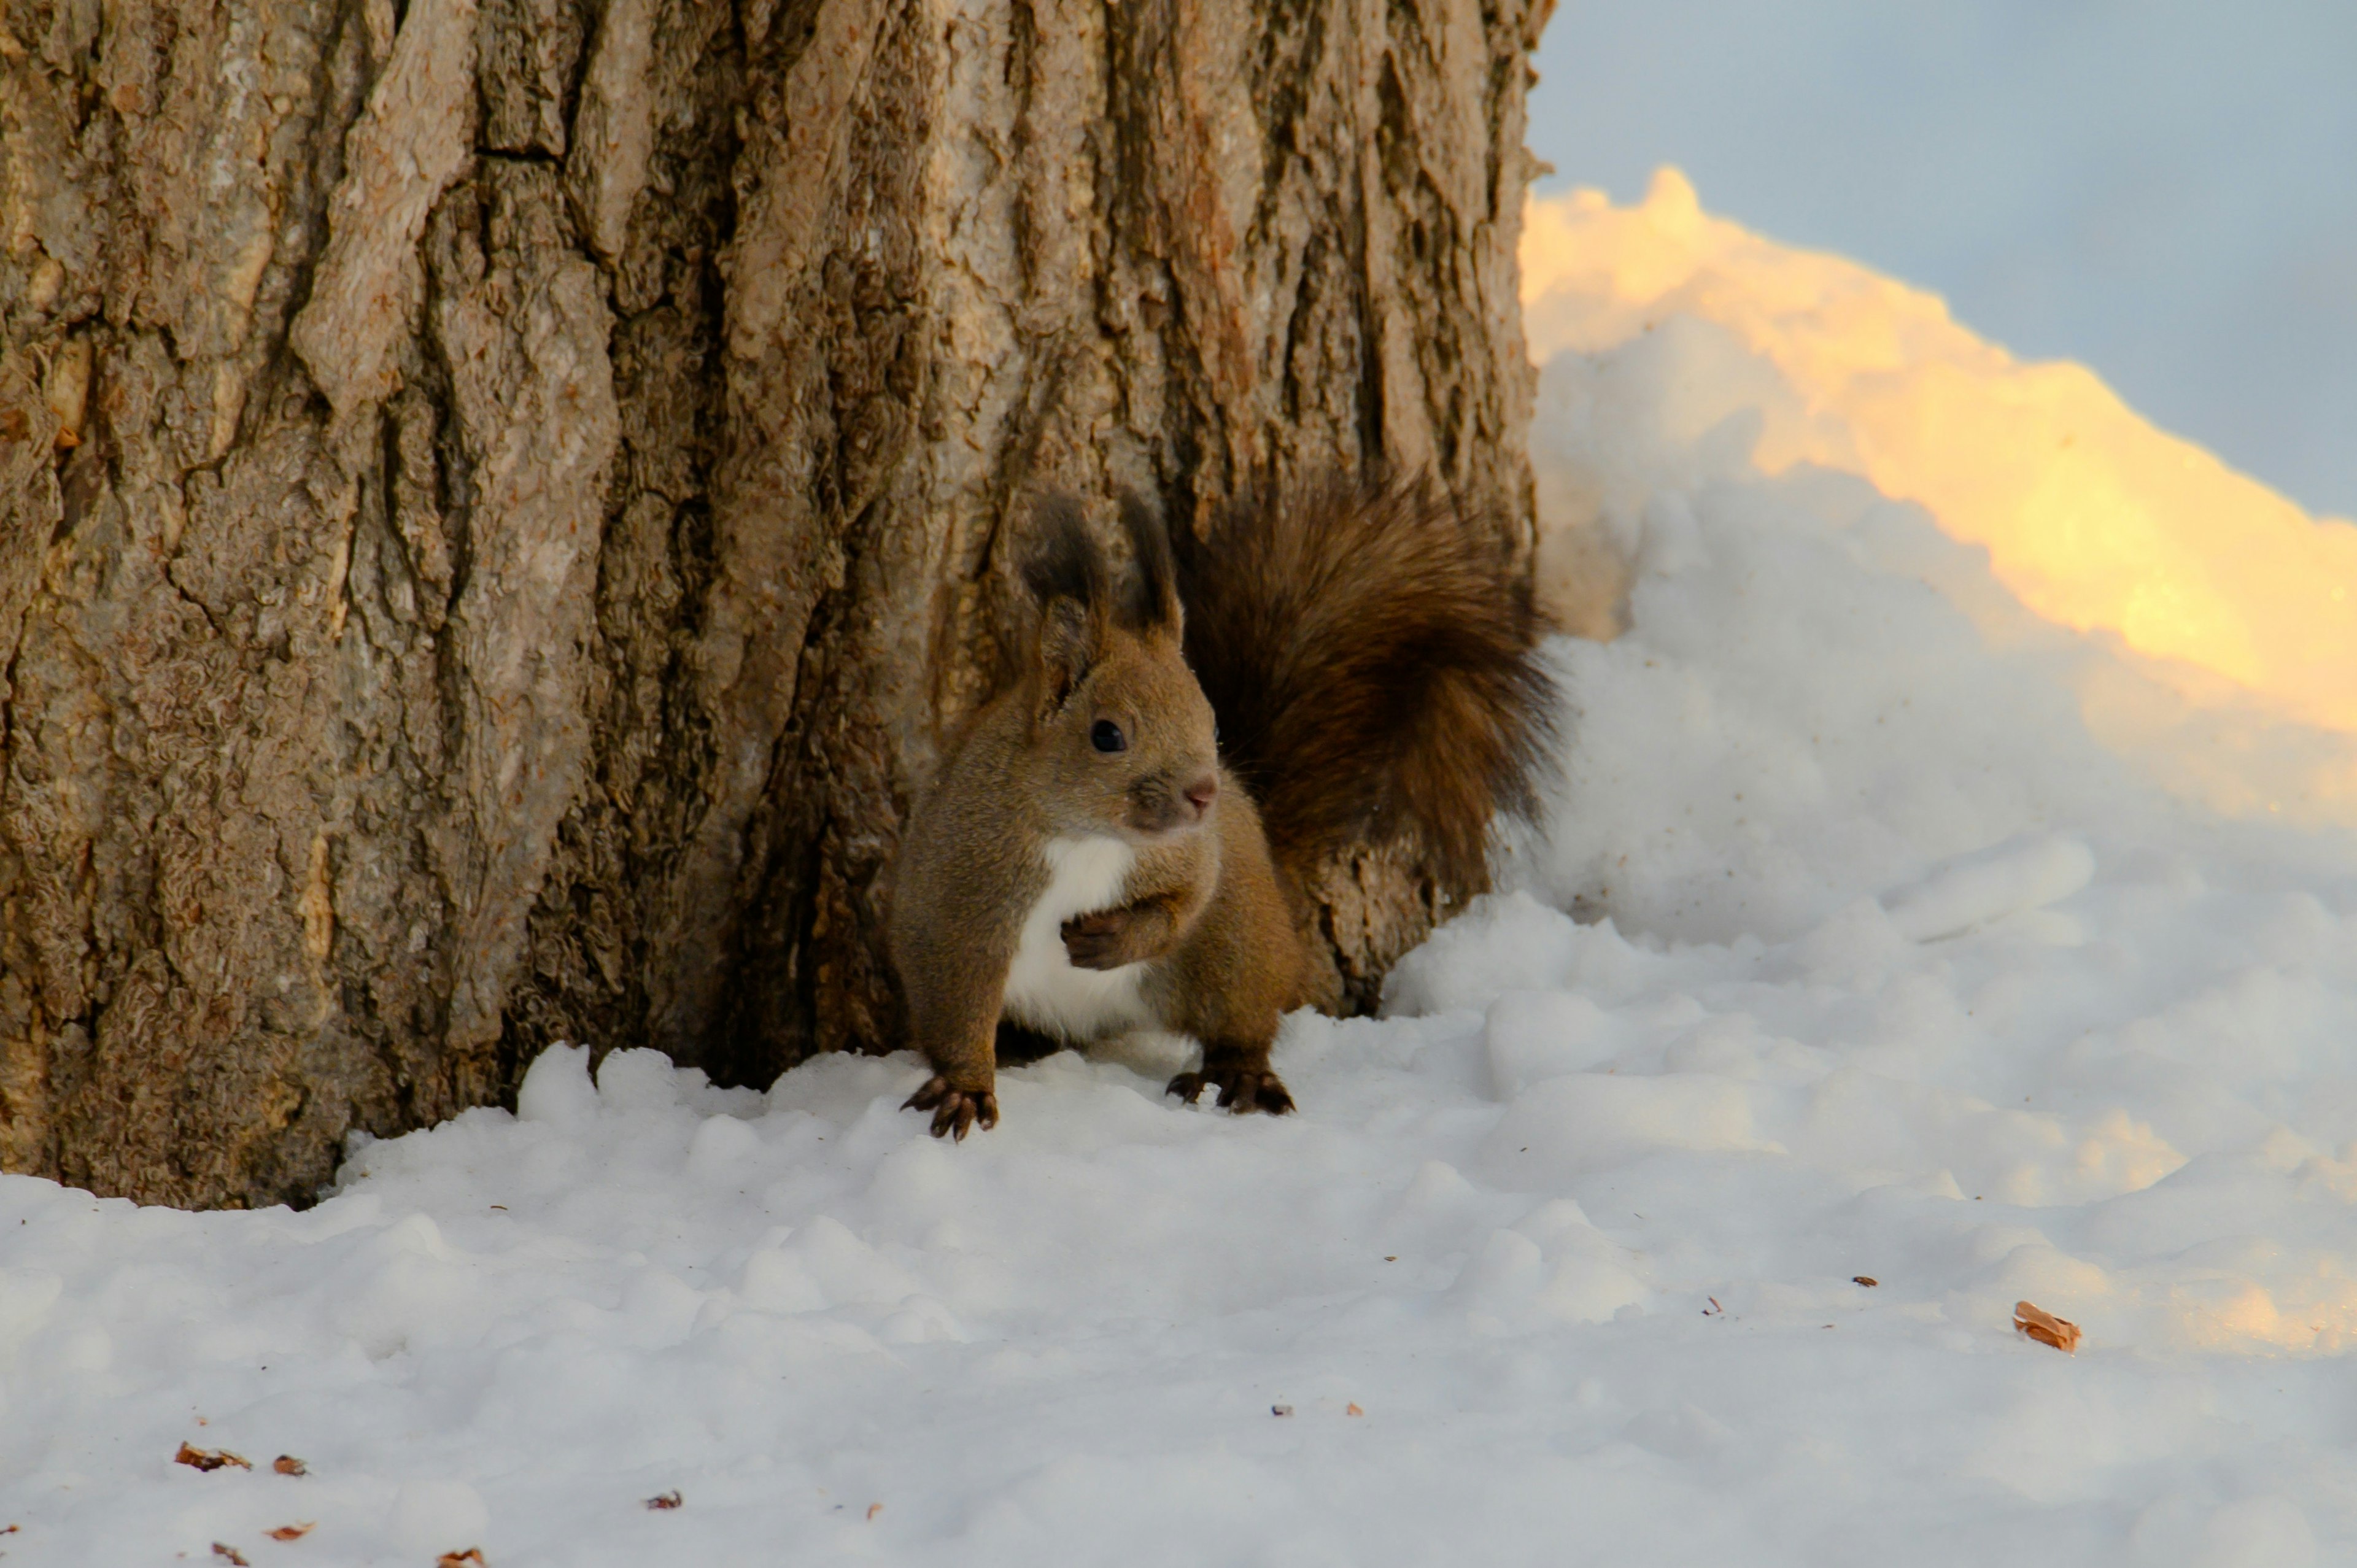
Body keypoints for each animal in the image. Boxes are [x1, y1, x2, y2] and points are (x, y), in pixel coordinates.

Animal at [891, 476, 1555, 1136]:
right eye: (1106, 734)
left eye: (1211, 722)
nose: (1204, 793)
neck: (1088, 838)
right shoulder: (961, 903)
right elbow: (957, 1010)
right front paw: (966, 1088)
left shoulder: (1190, 853)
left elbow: (1188, 898)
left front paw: (1117, 939)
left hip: (1237, 945)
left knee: (1243, 1023)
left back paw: (1240, 1076)